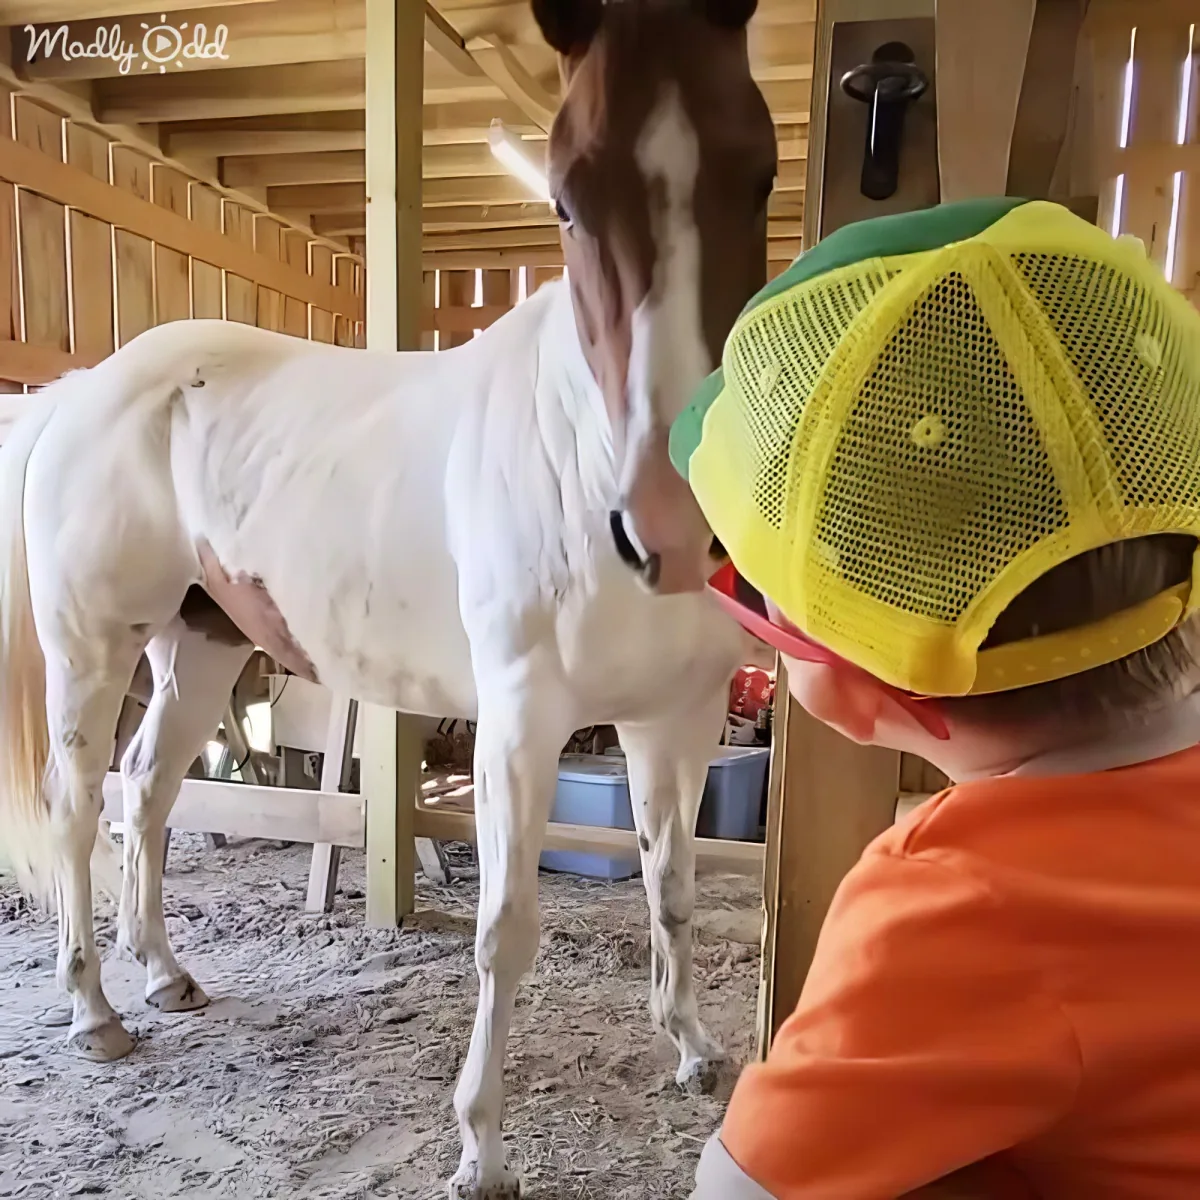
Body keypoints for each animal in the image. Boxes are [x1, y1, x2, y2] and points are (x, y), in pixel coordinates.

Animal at [0, 2, 778, 1196]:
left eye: (762, 169)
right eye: (565, 197)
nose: (677, 524)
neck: (575, 451)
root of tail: (81, 389)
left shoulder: (676, 719)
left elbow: (674, 882)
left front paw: (692, 1048)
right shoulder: (520, 727)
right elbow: (506, 930)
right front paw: (482, 1149)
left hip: (201, 648)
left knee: (150, 790)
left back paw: (165, 974)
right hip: (94, 646)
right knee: (82, 802)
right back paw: (93, 1011)